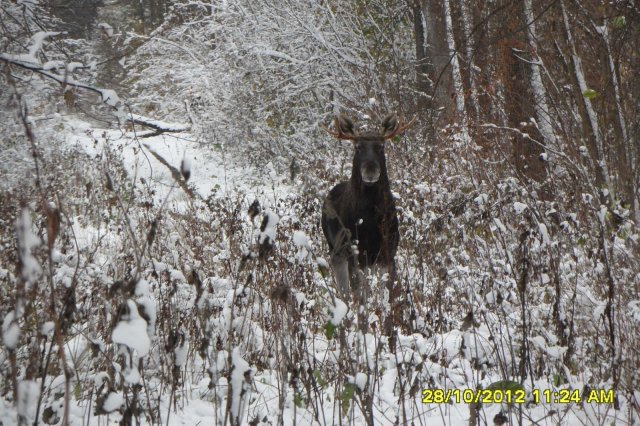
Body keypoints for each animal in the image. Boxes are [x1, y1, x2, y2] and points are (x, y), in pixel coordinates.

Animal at [322, 111, 412, 302]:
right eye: (357, 147)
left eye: (381, 146)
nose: (370, 170)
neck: (369, 222)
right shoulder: (353, 251)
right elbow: (359, 292)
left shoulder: (388, 251)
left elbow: (387, 290)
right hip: (336, 250)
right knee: (345, 289)